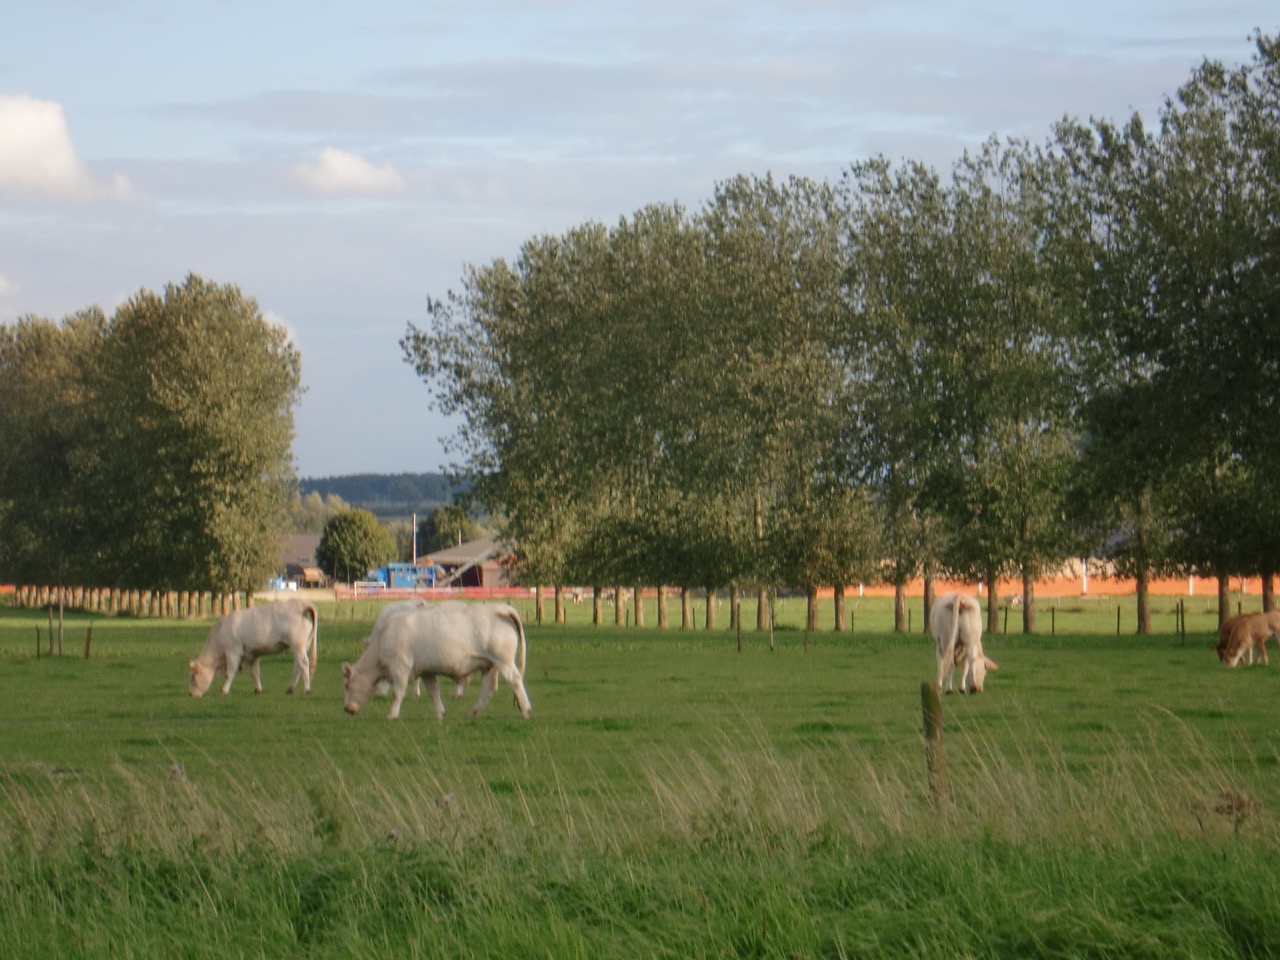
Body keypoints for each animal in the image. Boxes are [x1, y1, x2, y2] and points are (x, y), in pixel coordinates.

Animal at [189, 599, 320, 696]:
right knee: (298, 665)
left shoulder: (233, 651)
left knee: (304, 663)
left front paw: (224, 690)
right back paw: (291, 688)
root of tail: (302, 603)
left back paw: (307, 689)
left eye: (193, 676)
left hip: (298, 645)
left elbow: (230, 672)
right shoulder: (252, 654)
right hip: (302, 646)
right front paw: (258, 689)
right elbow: (255, 672)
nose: (190, 694)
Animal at [340, 601, 529, 721]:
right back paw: (474, 712)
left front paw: (392, 714)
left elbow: (397, 693)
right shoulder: (427, 671)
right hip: (489, 665)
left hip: (504, 661)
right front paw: (440, 713)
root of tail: (500, 608)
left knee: (515, 680)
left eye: (347, 685)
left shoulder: (400, 667)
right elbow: (433, 692)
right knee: (489, 689)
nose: (347, 709)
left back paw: (526, 710)